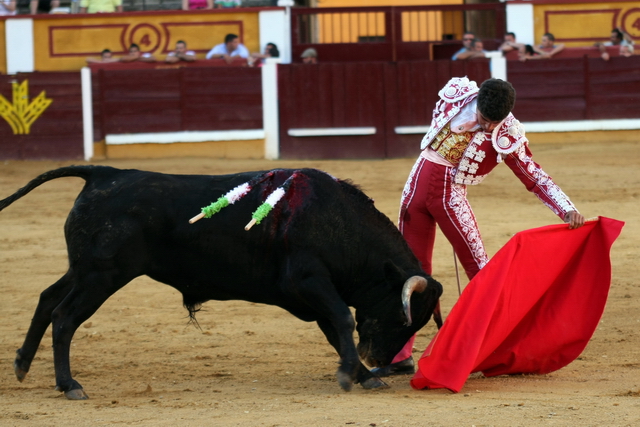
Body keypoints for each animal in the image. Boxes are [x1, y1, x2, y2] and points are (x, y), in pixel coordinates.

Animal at [0, 166, 440, 400]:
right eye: (401, 318)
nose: (377, 357)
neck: (337, 222)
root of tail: (102, 174)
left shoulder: (314, 295)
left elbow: (336, 330)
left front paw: (363, 375)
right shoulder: (309, 281)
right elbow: (343, 322)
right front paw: (353, 374)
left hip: (84, 270)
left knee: (46, 299)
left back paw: (22, 364)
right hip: (101, 276)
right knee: (64, 316)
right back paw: (69, 384)